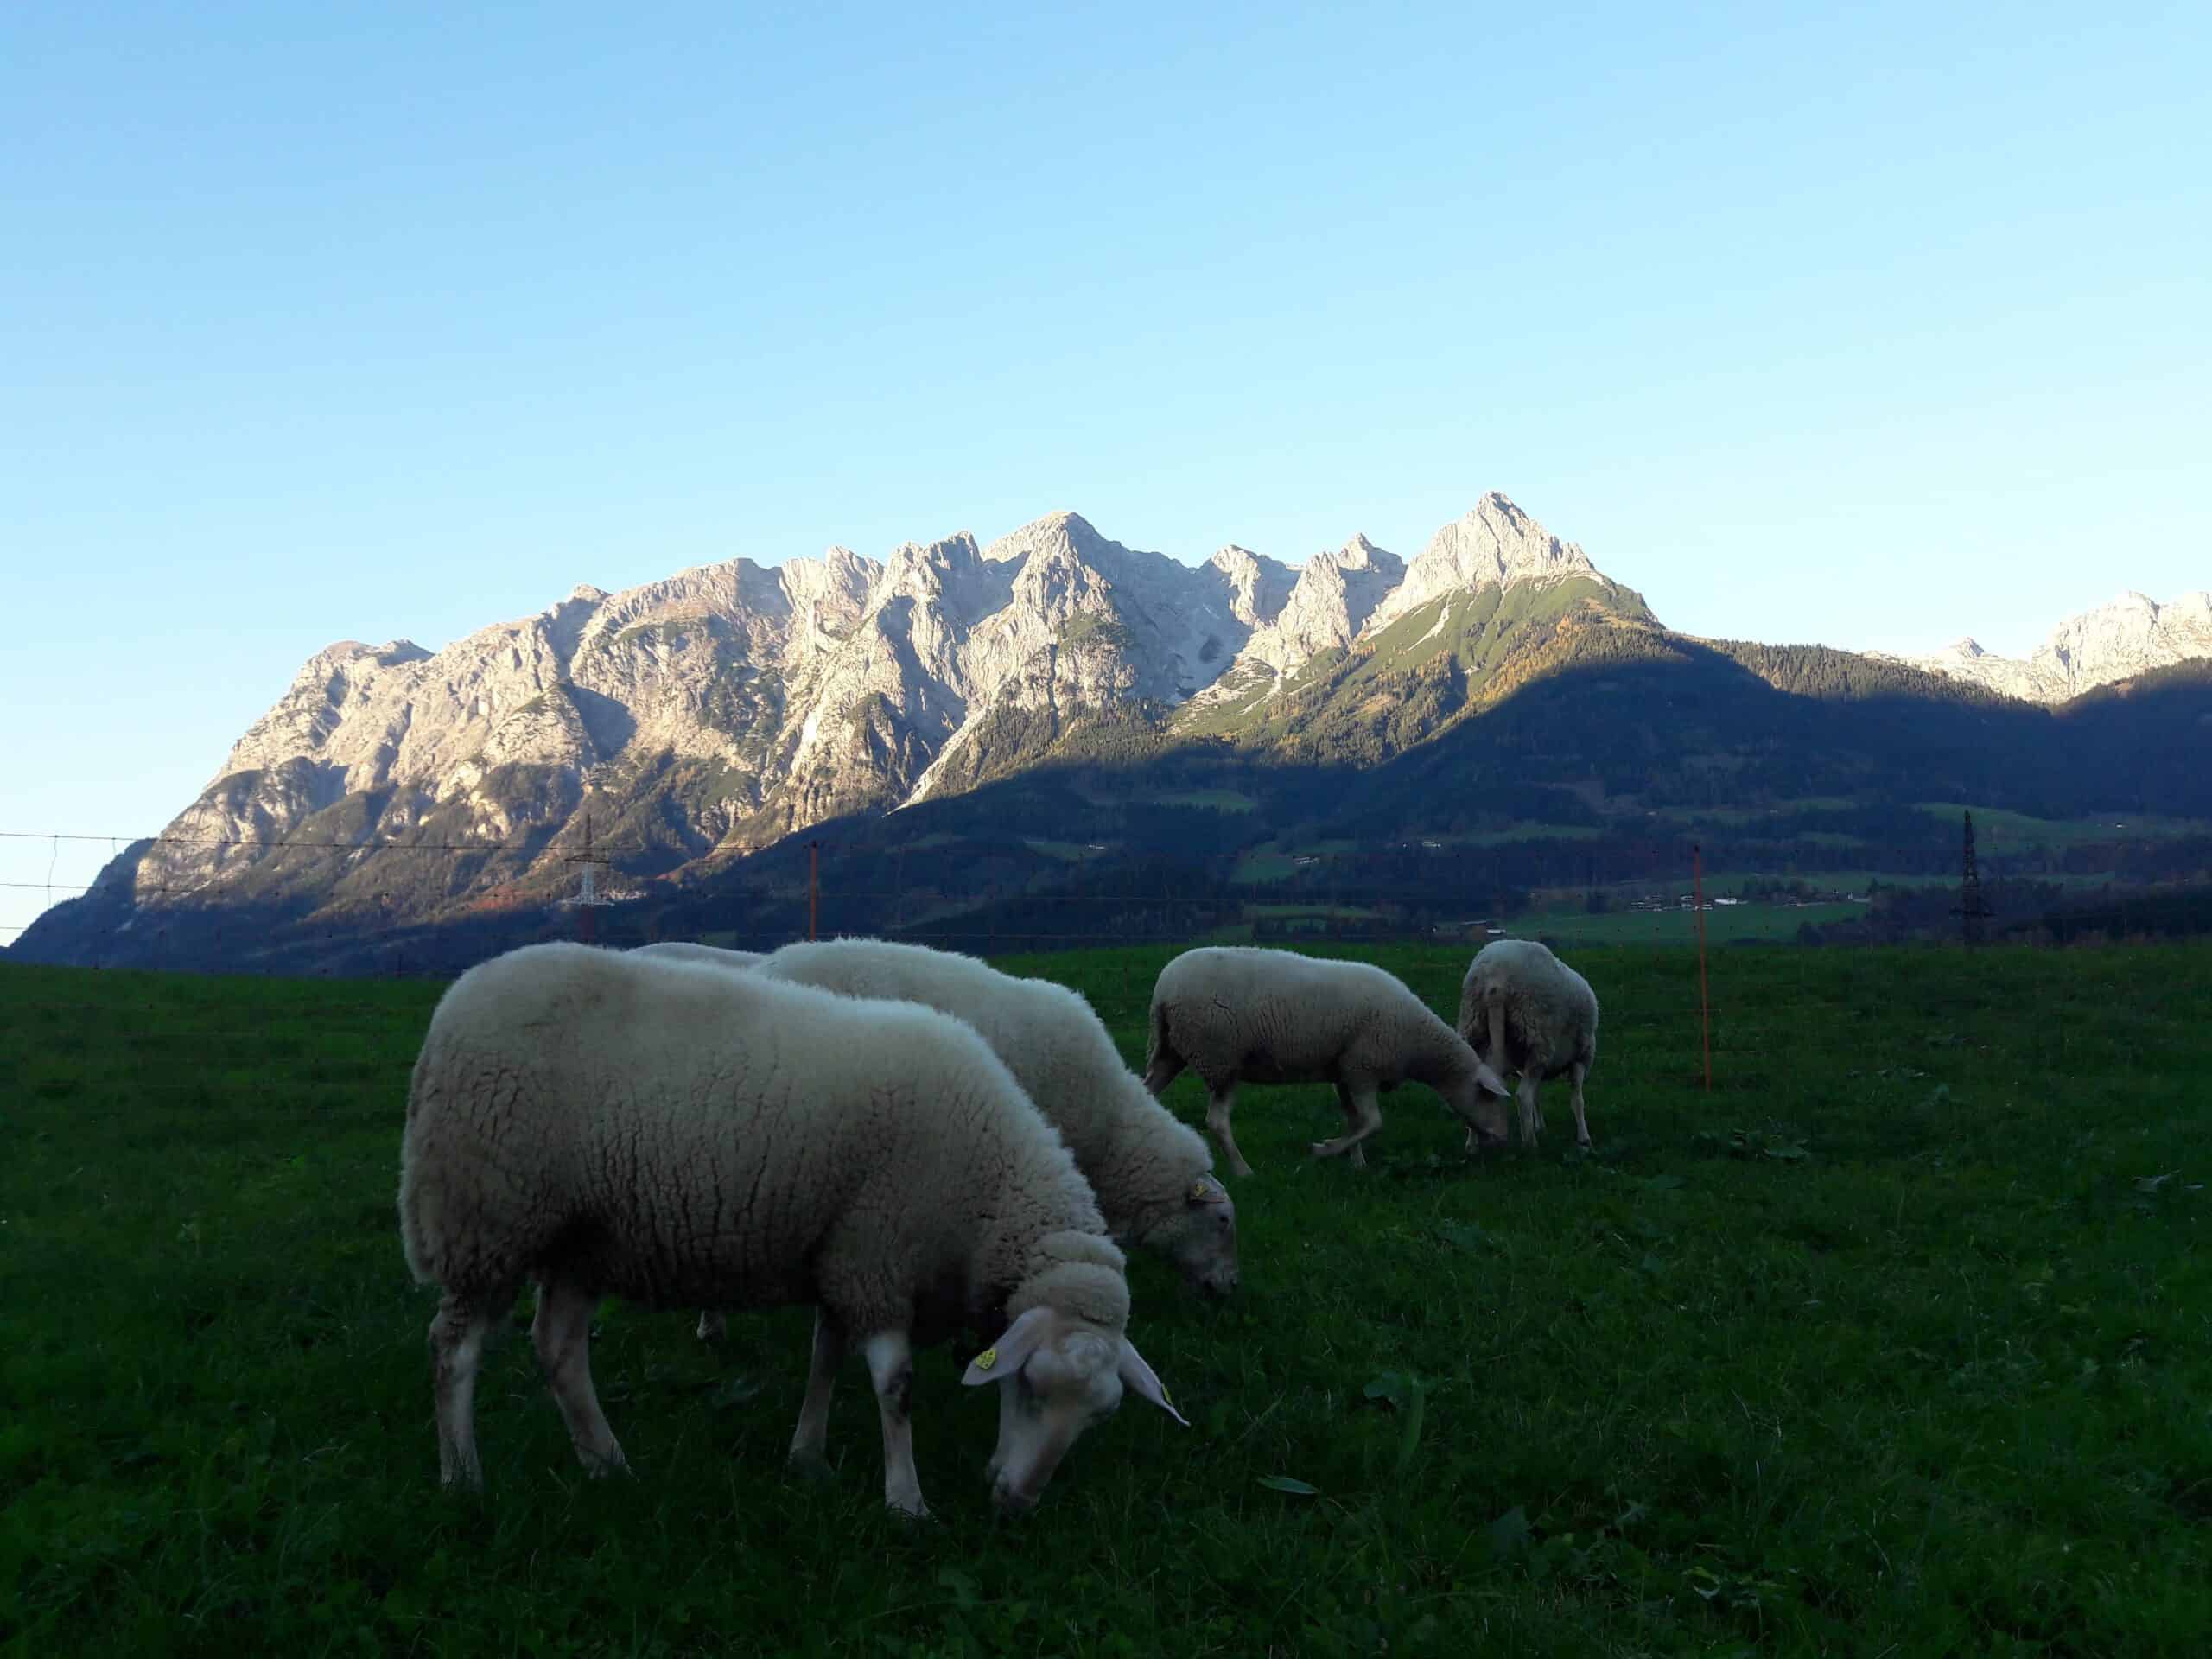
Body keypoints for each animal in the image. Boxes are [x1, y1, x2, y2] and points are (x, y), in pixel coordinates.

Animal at [397, 942, 1194, 1513]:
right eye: (1029, 1389)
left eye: (1095, 1418)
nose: (1019, 1504)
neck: (989, 1187)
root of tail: (452, 1005)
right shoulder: (877, 1256)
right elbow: (895, 1386)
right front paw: (906, 1500)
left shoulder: (845, 1255)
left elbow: (825, 1361)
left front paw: (807, 1458)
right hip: (487, 1219)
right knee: (451, 1349)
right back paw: (462, 1478)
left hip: (579, 1239)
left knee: (559, 1350)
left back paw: (608, 1464)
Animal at [1132, 946, 1513, 1185]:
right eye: (1489, 1097)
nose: (1502, 1139)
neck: (1418, 1044)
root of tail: (1162, 993)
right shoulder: (1362, 1068)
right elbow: (1373, 1122)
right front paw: (1325, 1150)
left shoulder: (1343, 1071)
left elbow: (1356, 1120)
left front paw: (1356, 1163)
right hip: (1222, 1059)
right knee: (1217, 1121)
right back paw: (1243, 1171)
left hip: (1170, 1053)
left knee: (1145, 1095)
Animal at [1459, 942, 1601, 1150]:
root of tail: (1495, 978)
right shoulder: (1581, 1057)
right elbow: (1577, 1100)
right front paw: (1584, 1137)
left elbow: (1538, 1096)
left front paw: (1540, 1126)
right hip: (1538, 1039)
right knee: (1523, 1095)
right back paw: (1530, 1145)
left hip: (1473, 1027)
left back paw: (1472, 1145)